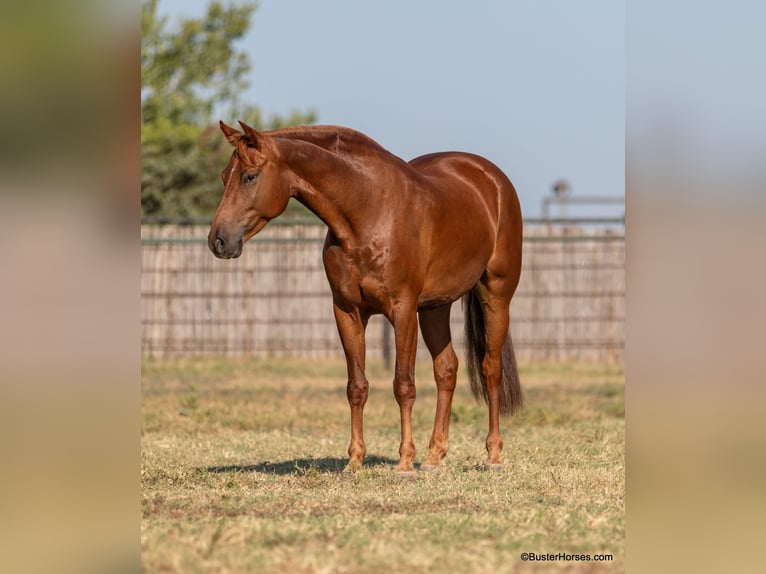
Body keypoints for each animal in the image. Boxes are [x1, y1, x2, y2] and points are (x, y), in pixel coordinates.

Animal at [209, 121, 524, 475]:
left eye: (249, 176)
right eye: (224, 176)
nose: (218, 241)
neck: (367, 211)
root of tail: (492, 179)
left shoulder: (402, 309)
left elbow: (403, 384)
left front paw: (404, 462)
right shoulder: (347, 311)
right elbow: (356, 386)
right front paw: (355, 461)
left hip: (495, 295)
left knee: (490, 369)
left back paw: (493, 455)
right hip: (435, 307)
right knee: (446, 369)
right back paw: (433, 456)